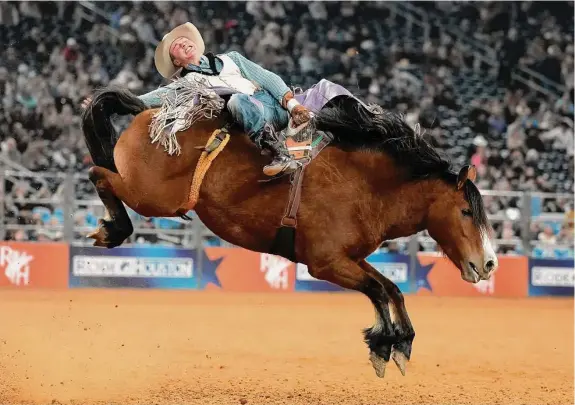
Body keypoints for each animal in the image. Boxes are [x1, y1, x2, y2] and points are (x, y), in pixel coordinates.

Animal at [81, 78, 500, 376]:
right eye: (466, 210)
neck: (365, 186)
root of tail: (152, 112)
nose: (489, 264)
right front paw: (384, 344)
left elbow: (391, 288)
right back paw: (112, 230)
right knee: (98, 174)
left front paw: (402, 342)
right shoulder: (326, 264)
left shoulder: (351, 259)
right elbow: (378, 291)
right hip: (152, 196)